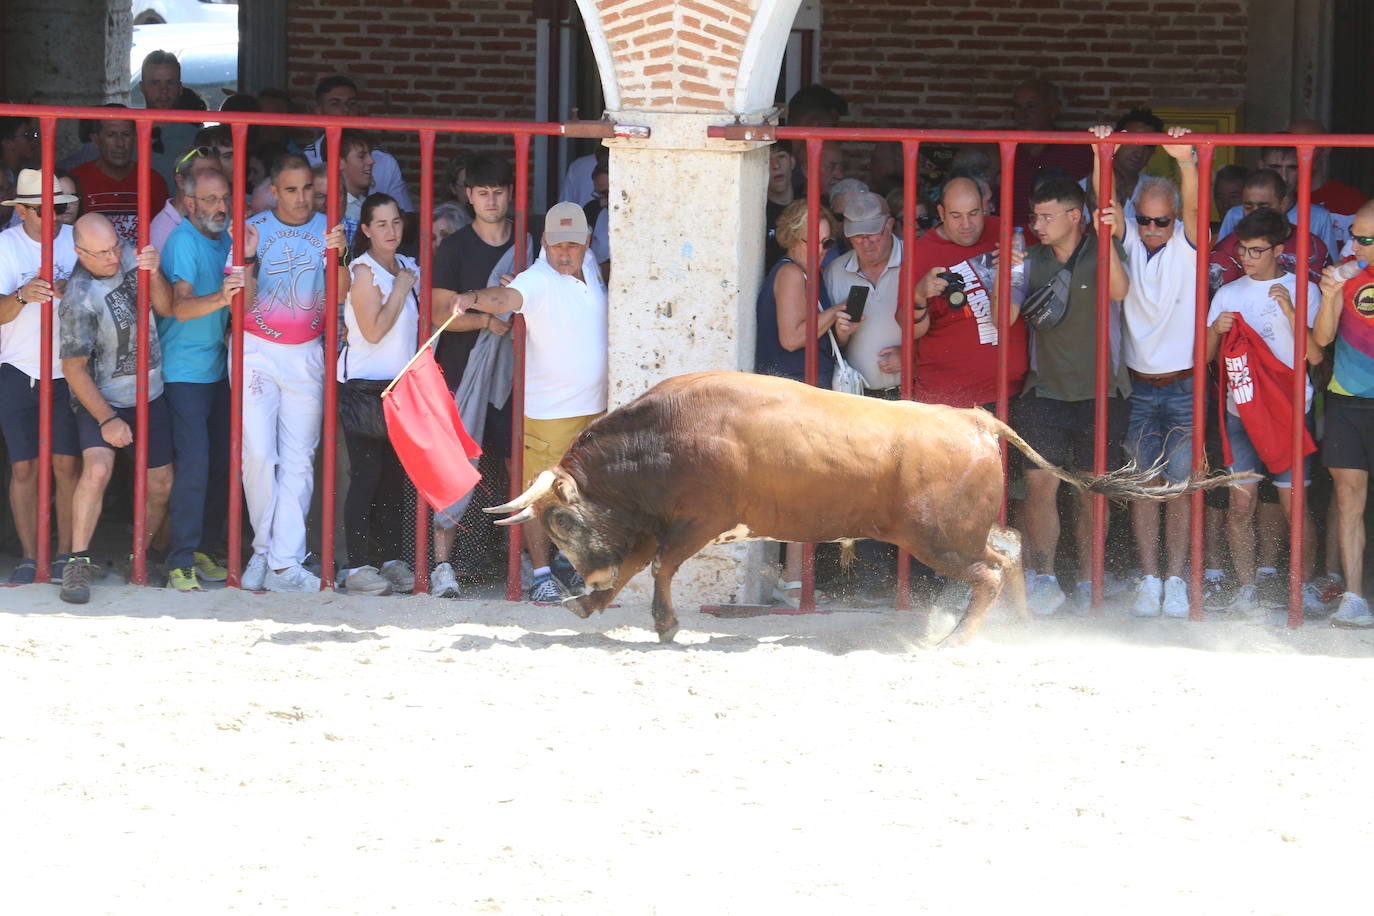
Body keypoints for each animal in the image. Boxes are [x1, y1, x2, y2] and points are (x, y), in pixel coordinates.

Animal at [491, 373, 1247, 645]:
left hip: (937, 540)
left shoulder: (695, 522)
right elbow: (641, 565)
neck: (666, 435)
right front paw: (591, 604)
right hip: (956, 532)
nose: (580, 575)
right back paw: (1016, 628)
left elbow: (658, 568)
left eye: (562, 521)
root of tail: (975, 420)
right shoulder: (663, 527)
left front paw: (662, 623)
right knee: (1008, 552)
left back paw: (955, 641)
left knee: (989, 572)